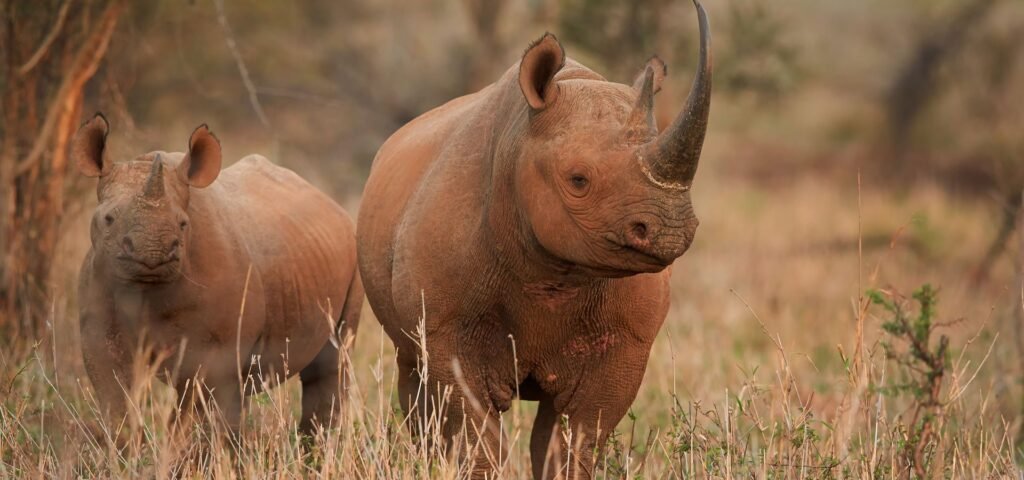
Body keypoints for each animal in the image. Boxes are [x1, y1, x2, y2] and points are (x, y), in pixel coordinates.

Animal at [73, 114, 360, 431]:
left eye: (183, 224)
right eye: (108, 219)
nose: (152, 253)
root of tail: (331, 203)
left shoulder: (214, 347)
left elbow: (193, 407)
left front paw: (179, 446)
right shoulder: (98, 317)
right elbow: (115, 396)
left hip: (352, 252)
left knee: (333, 359)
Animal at [360, 1, 712, 476]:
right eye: (578, 180)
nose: (671, 229)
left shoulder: (626, 342)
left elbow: (575, 438)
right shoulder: (445, 327)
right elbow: (474, 434)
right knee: (413, 379)